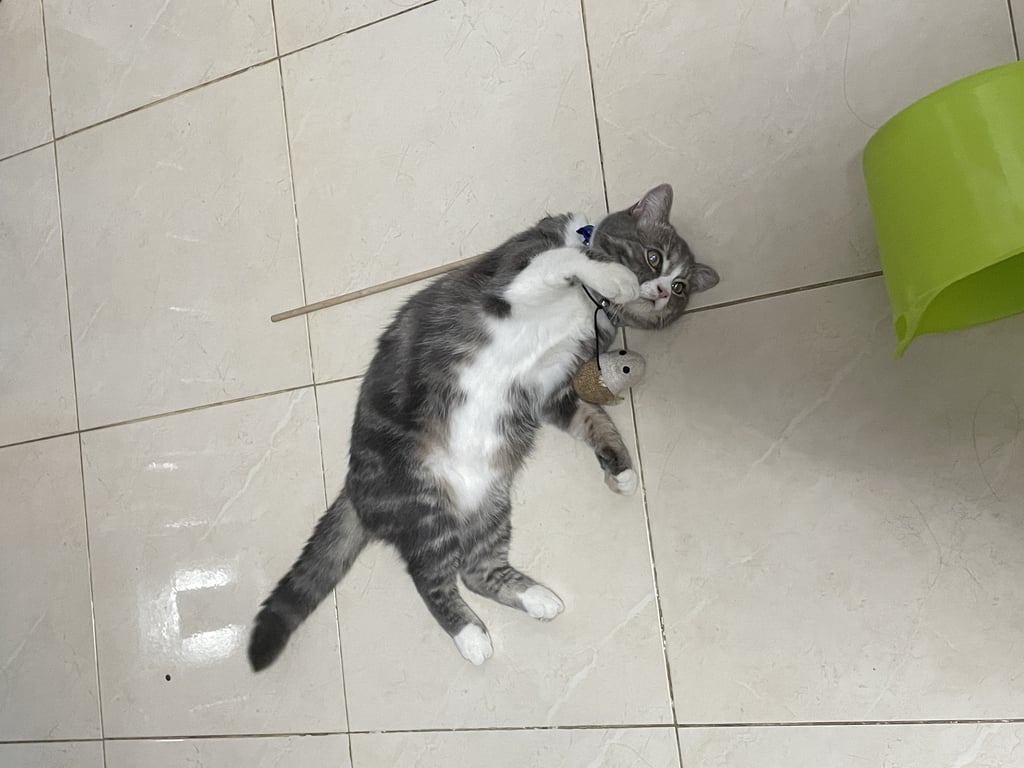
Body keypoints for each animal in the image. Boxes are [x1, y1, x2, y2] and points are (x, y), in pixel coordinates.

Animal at [248, 183, 719, 669]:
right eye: (653, 258)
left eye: (681, 287)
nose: (661, 291)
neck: (594, 305)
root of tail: (354, 486)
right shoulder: (515, 278)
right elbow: (562, 260)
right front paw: (612, 275)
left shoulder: (552, 390)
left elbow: (594, 420)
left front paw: (620, 469)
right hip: (424, 502)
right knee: (428, 576)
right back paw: (471, 637)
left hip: (487, 507)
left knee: (475, 571)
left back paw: (537, 600)